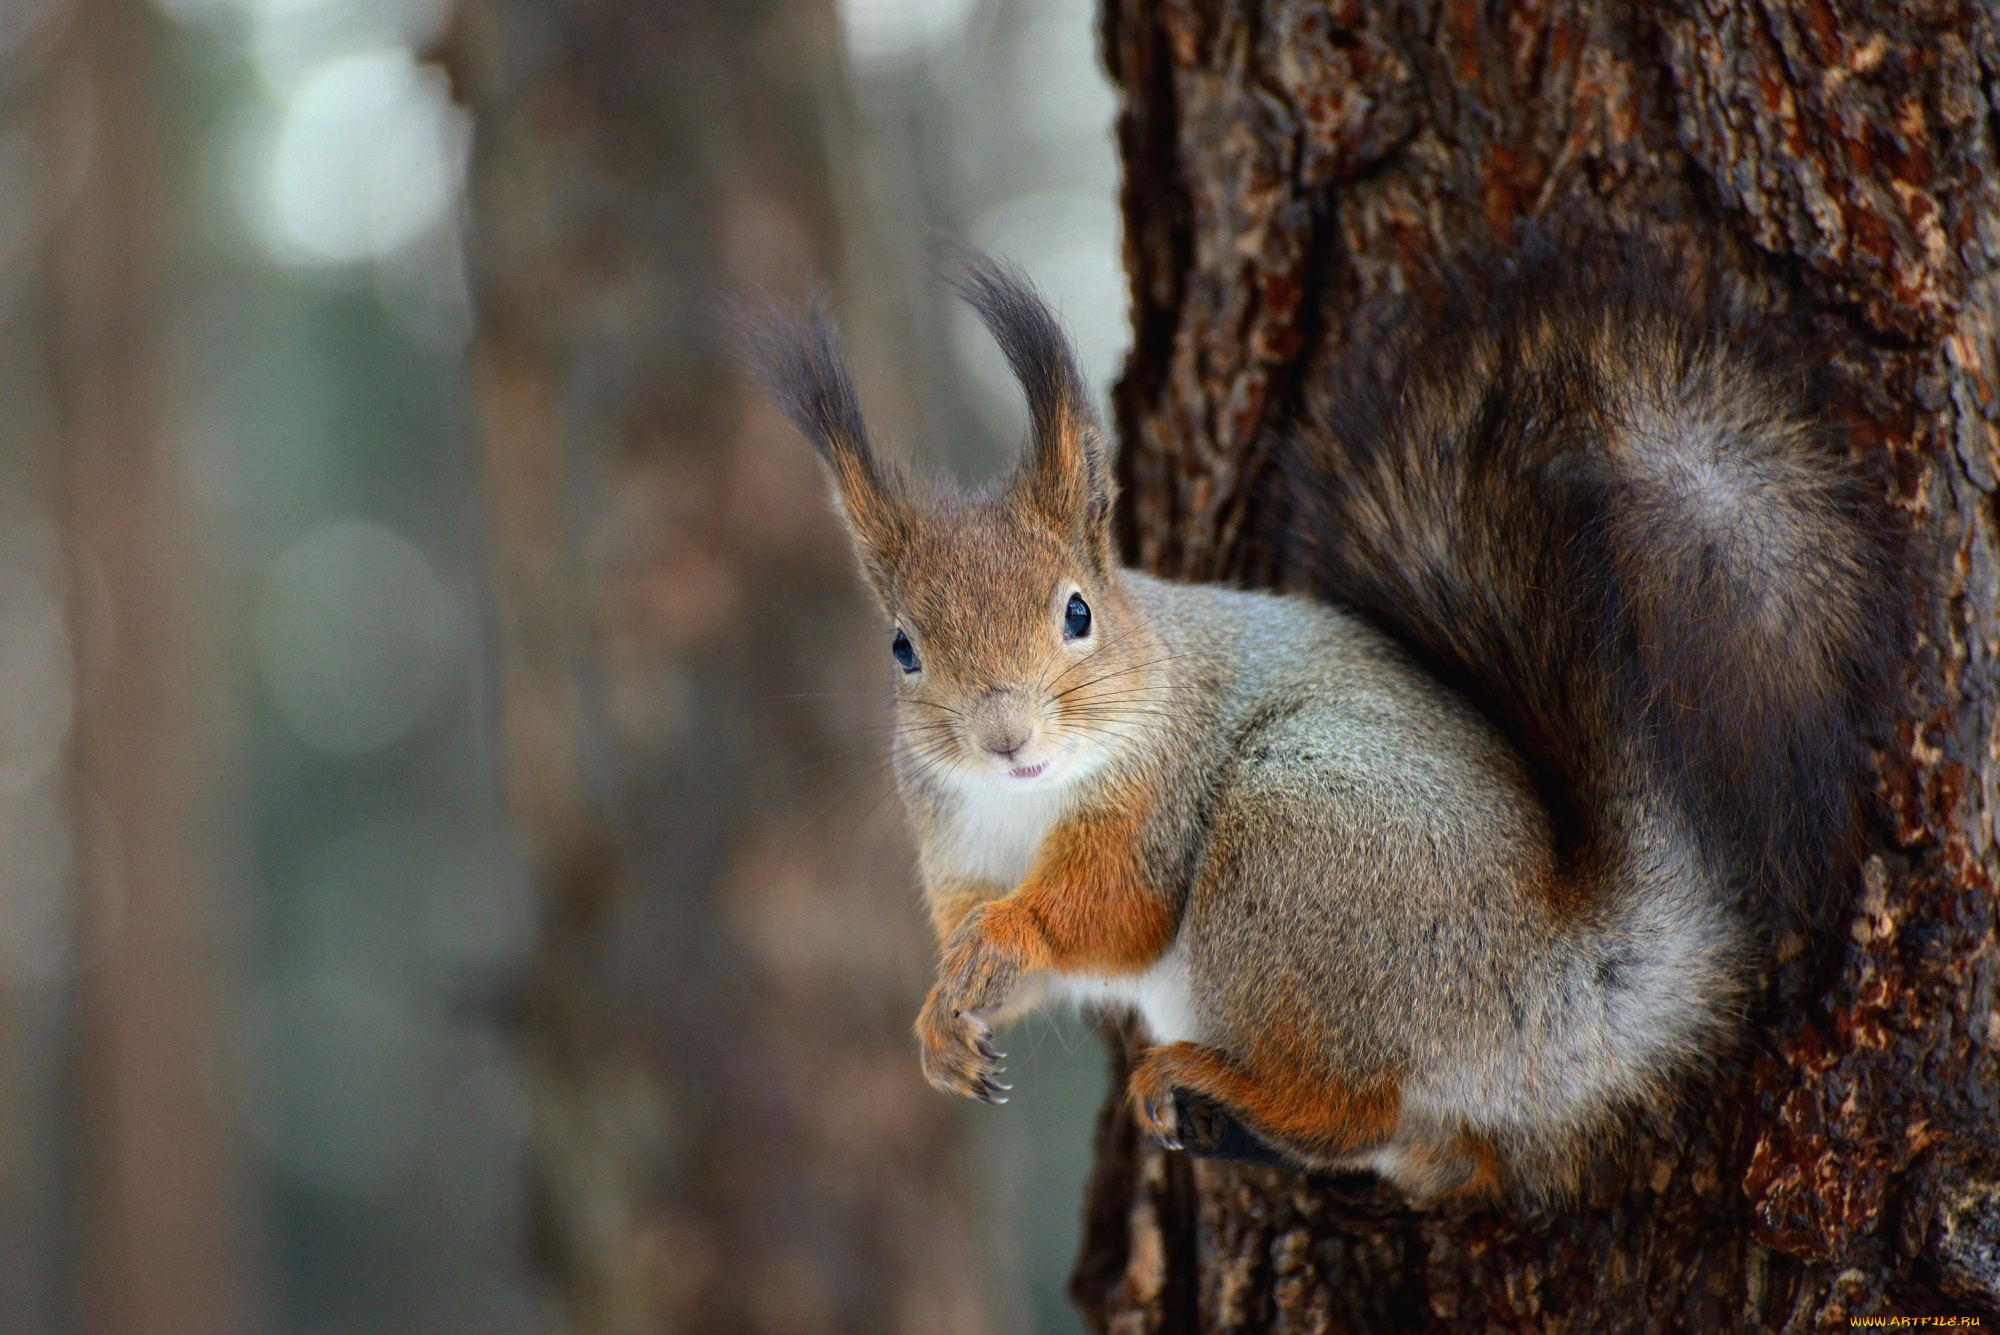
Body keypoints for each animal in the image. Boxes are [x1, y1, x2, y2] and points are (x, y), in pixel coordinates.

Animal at [752, 247, 1904, 1199]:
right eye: (903, 648)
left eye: (1077, 612)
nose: (1006, 738)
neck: (1023, 807)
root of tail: (1551, 975)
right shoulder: (951, 845)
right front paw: (939, 1025)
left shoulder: (1157, 798)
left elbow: (1114, 911)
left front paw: (1011, 934)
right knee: (1427, 1149)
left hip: (1291, 836)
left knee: (1357, 1103)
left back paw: (1215, 1082)